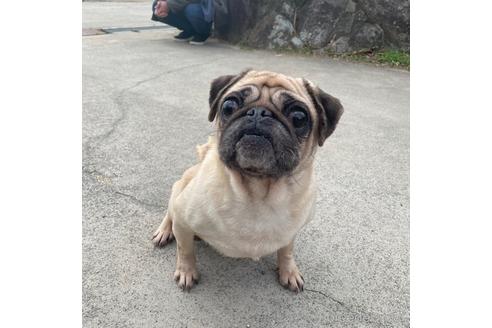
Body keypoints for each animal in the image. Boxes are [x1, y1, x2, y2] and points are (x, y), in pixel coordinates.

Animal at [153, 69, 342, 292]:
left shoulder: (290, 234)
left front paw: (289, 271)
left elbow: (286, 251)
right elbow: (185, 250)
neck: (257, 193)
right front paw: (186, 271)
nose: (259, 113)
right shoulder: (183, 221)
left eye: (299, 117)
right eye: (228, 106)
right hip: (179, 189)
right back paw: (164, 231)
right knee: (170, 212)